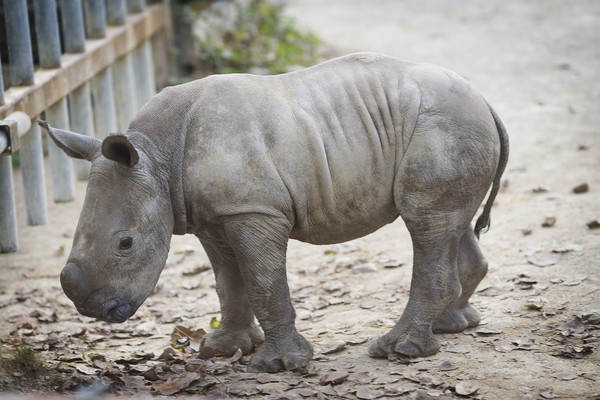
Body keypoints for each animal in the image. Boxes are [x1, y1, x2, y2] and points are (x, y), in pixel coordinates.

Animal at [42, 52, 508, 372]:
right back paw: (452, 324)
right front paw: (223, 349)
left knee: (425, 223)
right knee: (449, 226)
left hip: (445, 127)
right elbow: (229, 282)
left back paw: (397, 350)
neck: (156, 154)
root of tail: (485, 100)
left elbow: (263, 282)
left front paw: (278, 365)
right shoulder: (215, 215)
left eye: (125, 243)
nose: (90, 308)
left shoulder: (254, 210)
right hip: (454, 127)